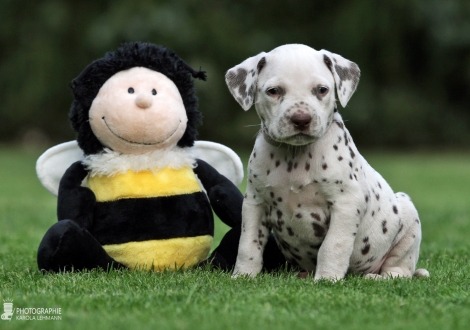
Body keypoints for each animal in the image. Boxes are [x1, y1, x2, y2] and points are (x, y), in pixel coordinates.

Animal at [226, 44, 428, 282]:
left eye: (321, 90)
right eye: (274, 91)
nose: (301, 119)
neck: (295, 156)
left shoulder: (345, 204)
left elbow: (333, 245)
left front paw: (327, 279)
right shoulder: (255, 204)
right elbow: (248, 244)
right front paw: (243, 275)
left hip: (408, 221)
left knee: (400, 270)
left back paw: (378, 277)